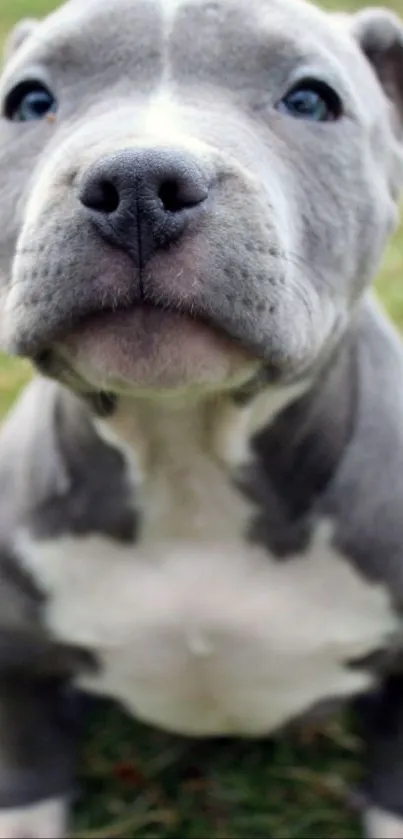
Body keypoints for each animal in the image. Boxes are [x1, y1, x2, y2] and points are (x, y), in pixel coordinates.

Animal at [0, 0, 403, 836]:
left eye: (310, 99)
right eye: (28, 101)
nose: (137, 181)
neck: (186, 453)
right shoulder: (20, 666)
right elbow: (26, 782)